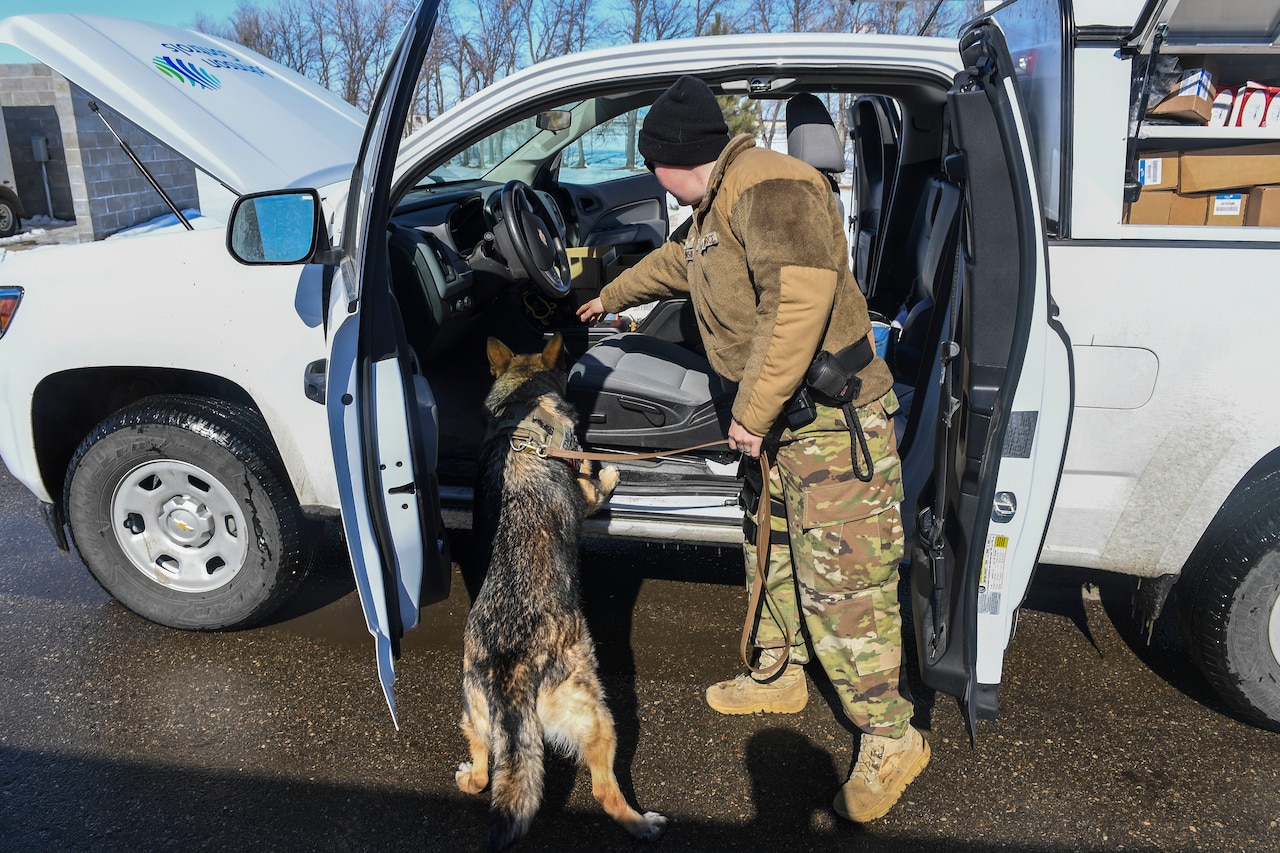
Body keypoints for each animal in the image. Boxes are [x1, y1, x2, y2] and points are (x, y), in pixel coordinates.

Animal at [458, 333, 665, 850]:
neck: (522, 406)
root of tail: (512, 671)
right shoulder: (585, 494)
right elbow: (593, 480)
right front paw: (606, 470)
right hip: (598, 718)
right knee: (604, 791)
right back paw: (642, 824)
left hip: (474, 717)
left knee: (485, 775)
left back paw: (469, 775)